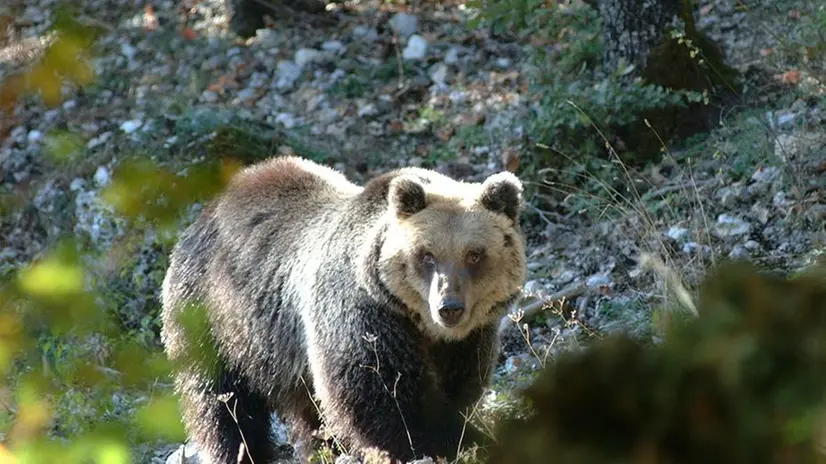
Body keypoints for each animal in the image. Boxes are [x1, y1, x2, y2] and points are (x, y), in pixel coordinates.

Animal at [158, 157, 524, 464]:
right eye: (426, 255)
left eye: (474, 254)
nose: (449, 308)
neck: (418, 323)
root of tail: (207, 209)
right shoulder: (361, 313)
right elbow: (384, 398)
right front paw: (457, 441)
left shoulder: (468, 339)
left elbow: (461, 387)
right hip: (214, 319)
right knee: (221, 404)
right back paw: (241, 452)